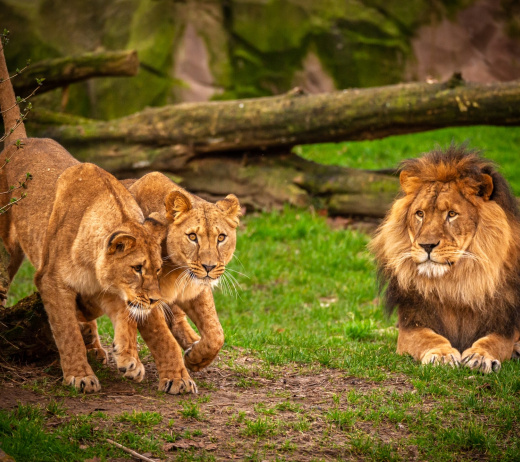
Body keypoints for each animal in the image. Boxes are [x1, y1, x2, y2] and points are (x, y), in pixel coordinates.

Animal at [370, 146, 520, 374]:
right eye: (420, 213)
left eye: (452, 214)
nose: (427, 245)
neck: (453, 285)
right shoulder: (411, 325)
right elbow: (429, 339)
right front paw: (441, 355)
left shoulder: (503, 326)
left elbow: (492, 342)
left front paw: (480, 356)